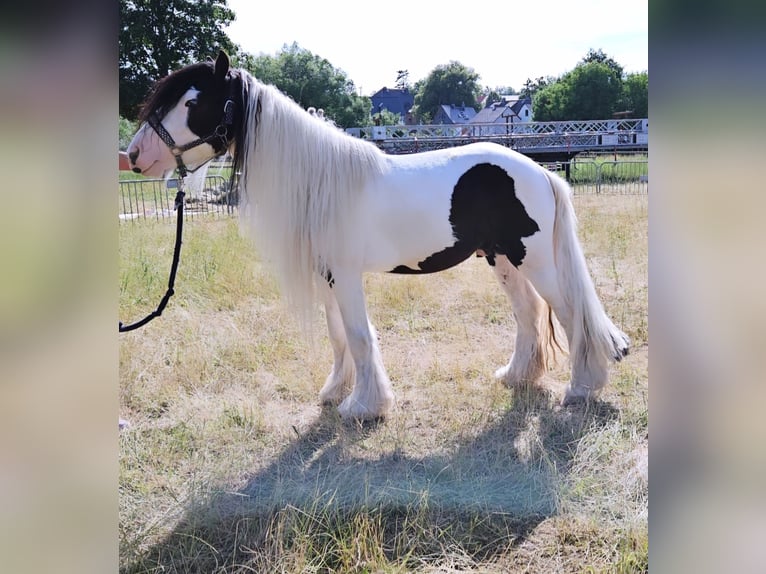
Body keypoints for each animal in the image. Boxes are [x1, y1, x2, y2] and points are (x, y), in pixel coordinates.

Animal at [126, 51, 632, 424]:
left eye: (191, 103)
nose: (134, 155)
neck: (322, 181)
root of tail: (541, 173)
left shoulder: (347, 276)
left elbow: (358, 335)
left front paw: (364, 407)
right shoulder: (328, 277)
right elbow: (339, 337)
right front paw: (335, 393)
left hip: (535, 259)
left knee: (570, 314)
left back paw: (580, 389)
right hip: (501, 258)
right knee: (528, 314)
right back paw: (516, 377)